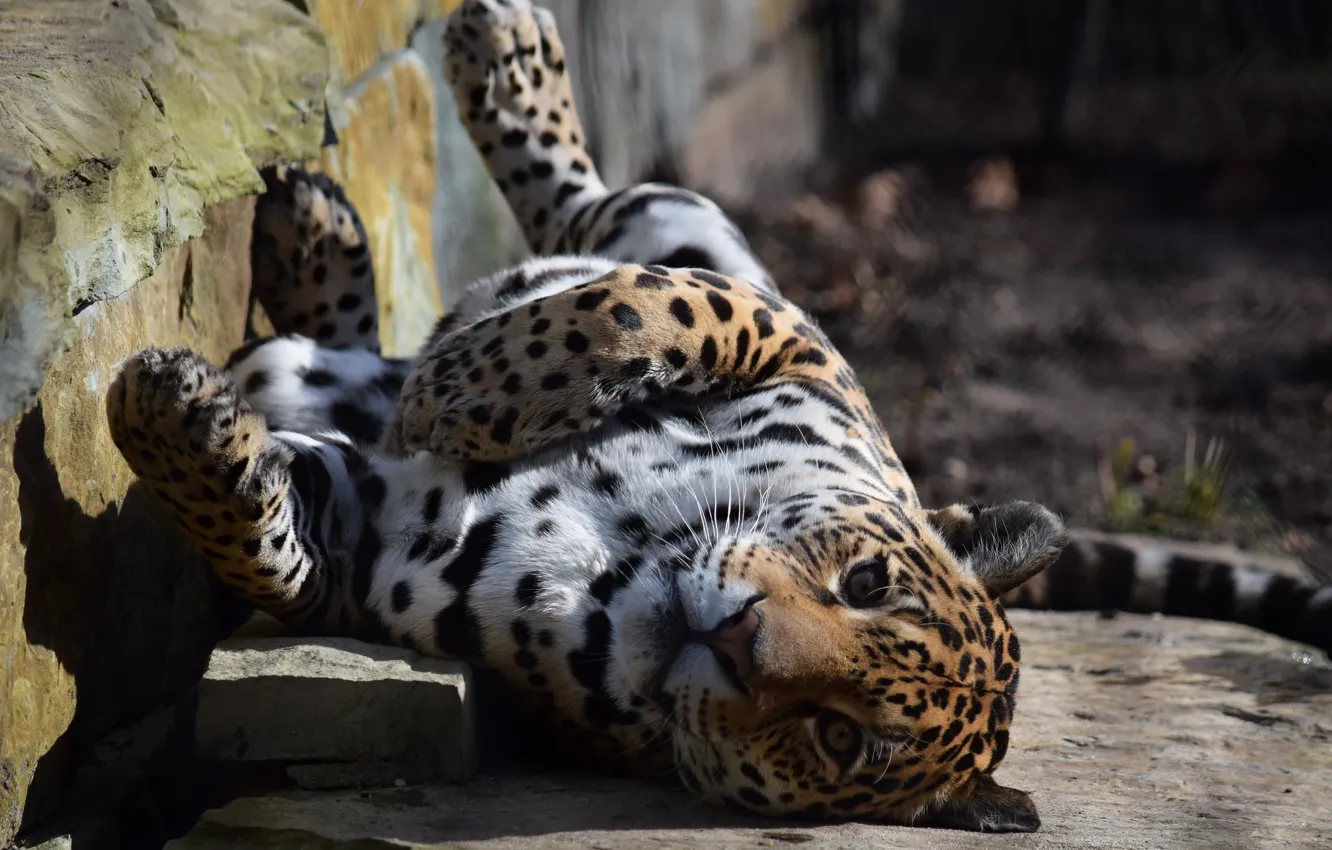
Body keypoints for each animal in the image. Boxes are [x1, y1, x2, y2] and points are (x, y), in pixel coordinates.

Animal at [106, 0, 1331, 834]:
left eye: (840, 737)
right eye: (865, 582)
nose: (733, 638)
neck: (634, 556)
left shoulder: (369, 554)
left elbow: (259, 533)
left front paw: (171, 415)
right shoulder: (806, 347)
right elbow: (658, 311)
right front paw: (466, 390)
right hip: (695, 226)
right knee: (604, 210)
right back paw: (464, 100)